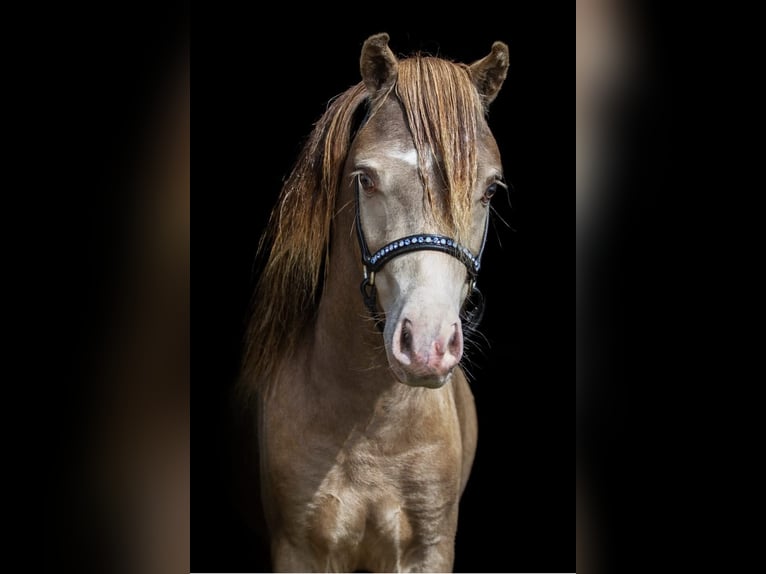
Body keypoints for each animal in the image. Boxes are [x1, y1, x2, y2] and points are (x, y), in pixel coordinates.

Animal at [242, 33, 510, 572]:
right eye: (366, 178)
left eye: (490, 190)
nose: (427, 346)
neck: (371, 428)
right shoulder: (299, 551)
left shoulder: (427, 551)